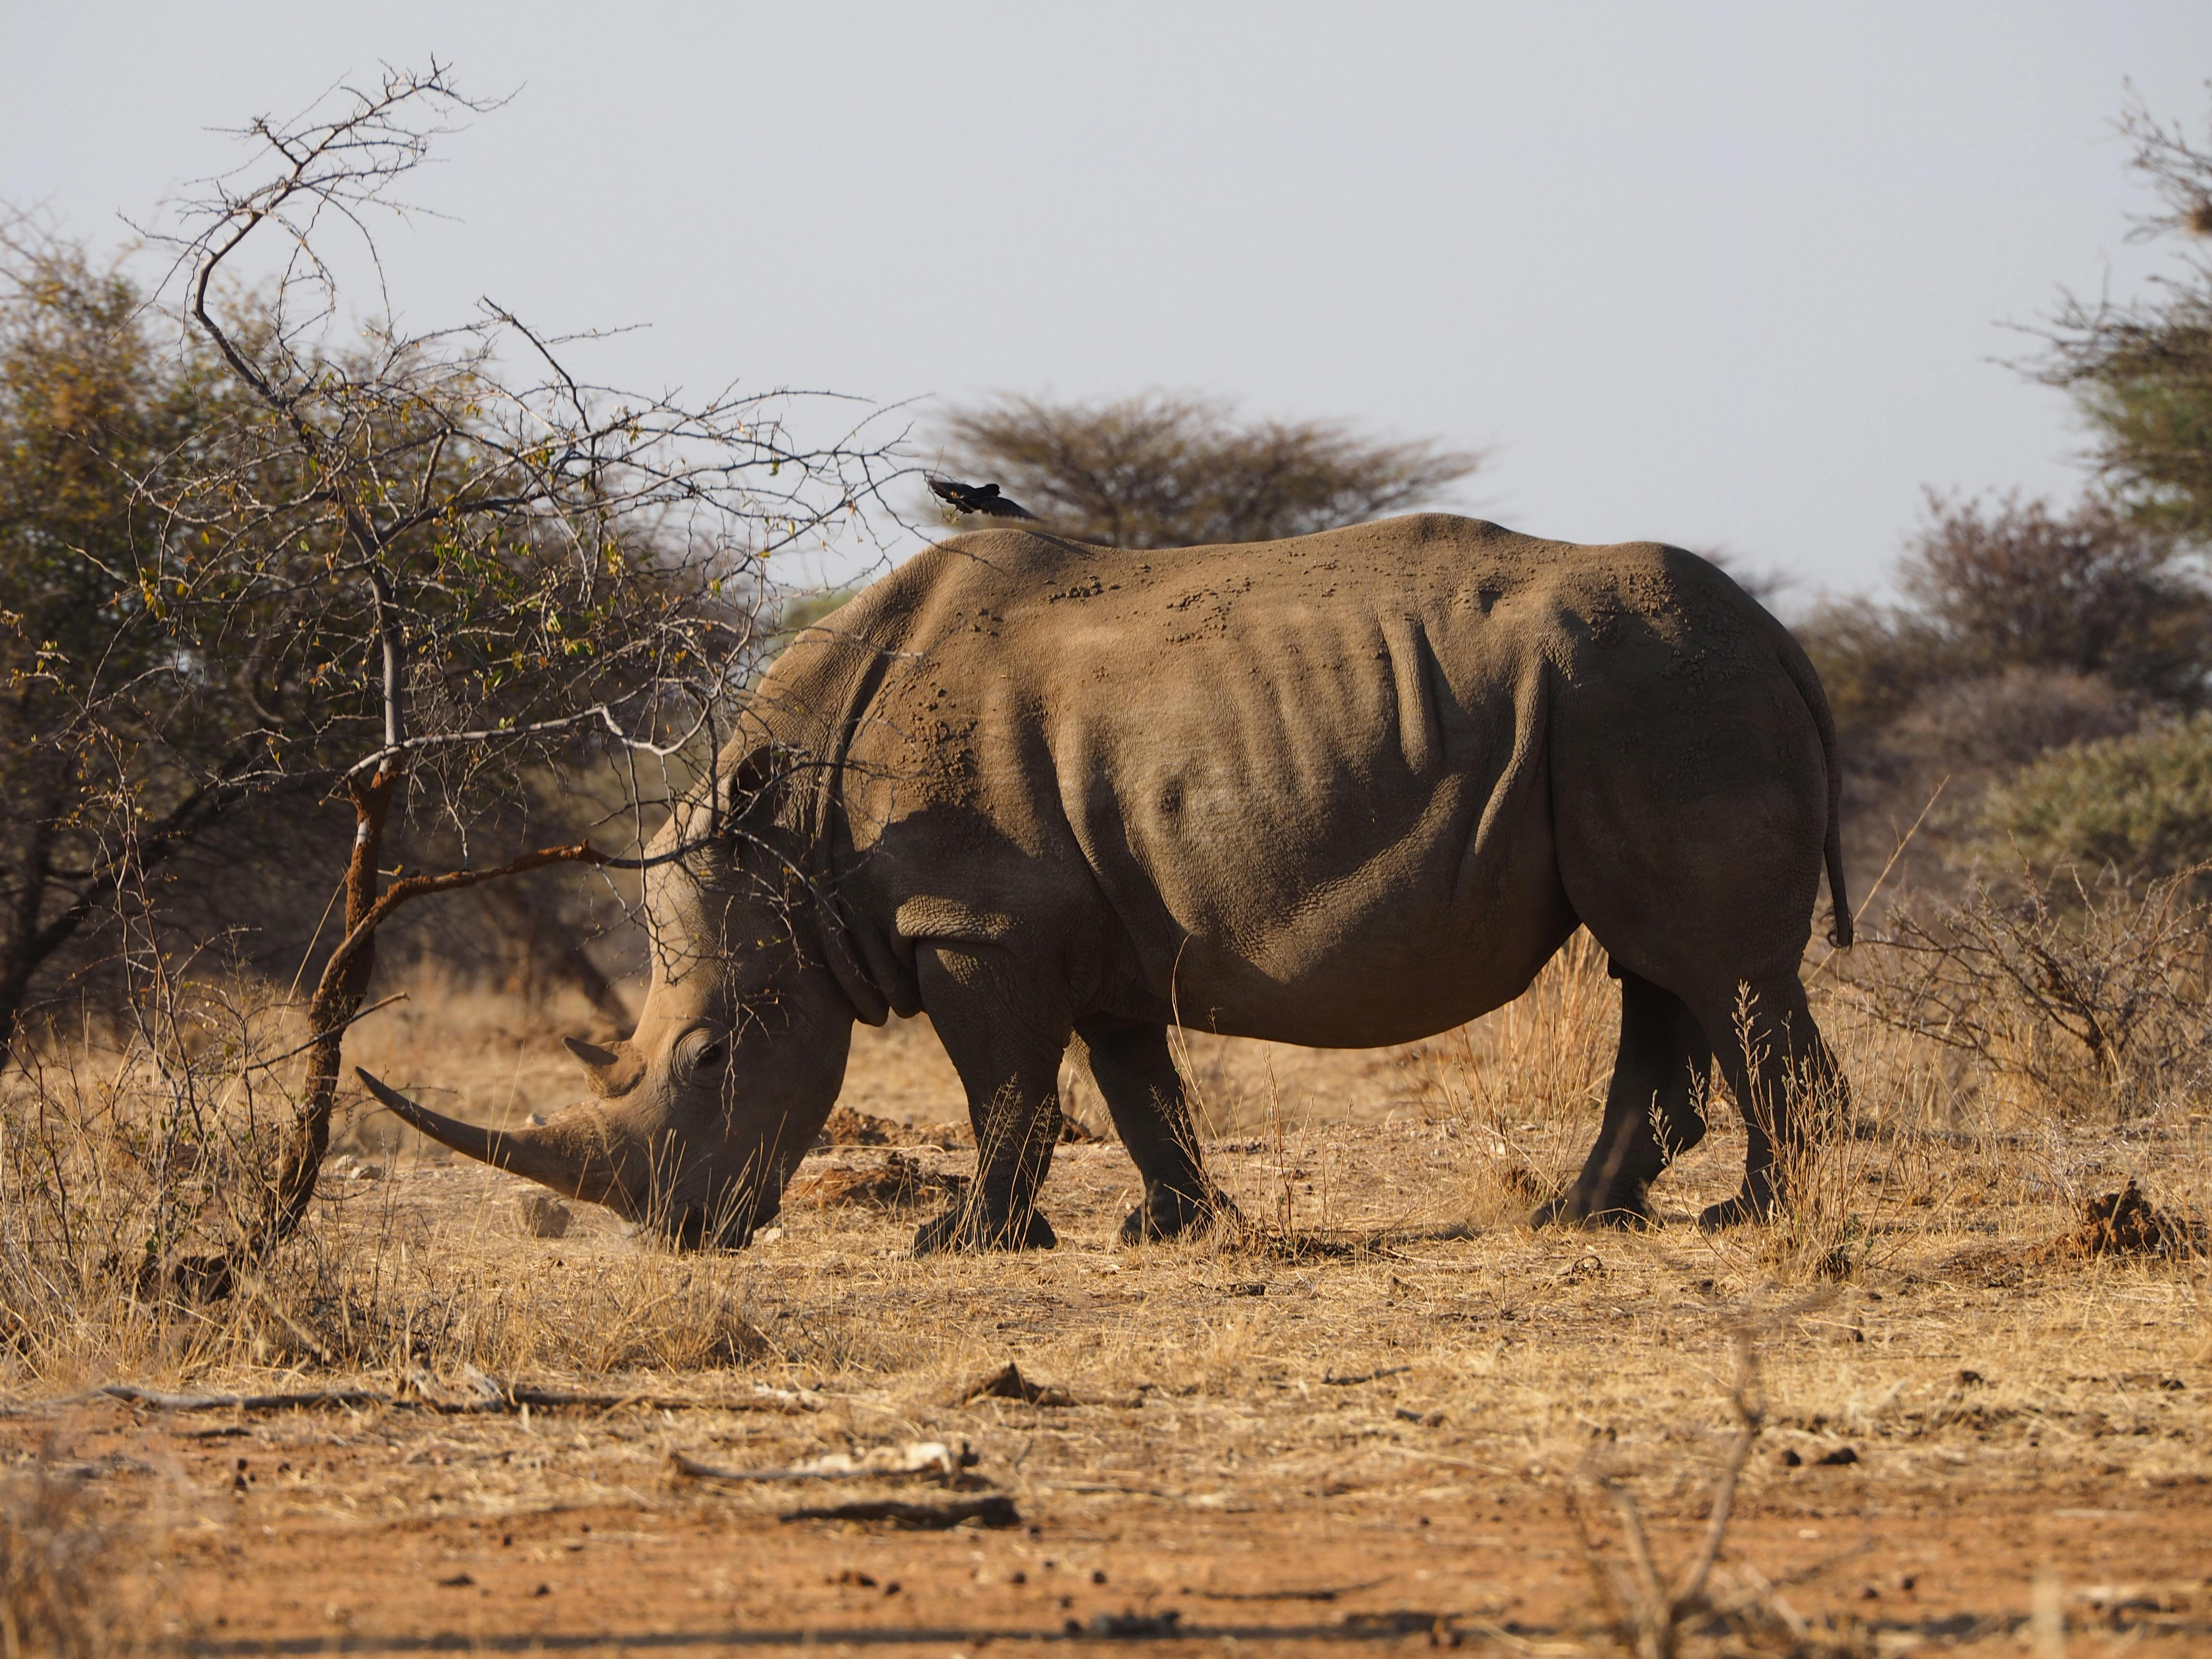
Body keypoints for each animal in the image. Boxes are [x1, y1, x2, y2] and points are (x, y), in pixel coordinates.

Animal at [360, 513, 1851, 1250]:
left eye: (714, 1056)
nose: (679, 1236)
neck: (795, 830)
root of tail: (1782, 638)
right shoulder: (1090, 925)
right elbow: (1138, 1083)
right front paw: (1167, 1229)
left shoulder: (974, 917)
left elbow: (1007, 1086)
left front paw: (962, 1245)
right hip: (1628, 702)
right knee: (1653, 956)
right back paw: (1583, 1214)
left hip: (1659, 698)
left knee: (1711, 961)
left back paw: (1758, 1215)